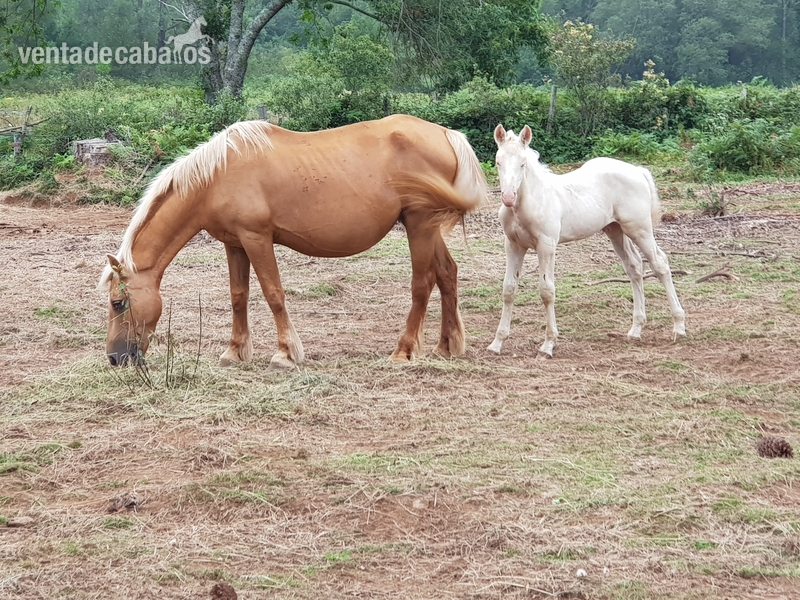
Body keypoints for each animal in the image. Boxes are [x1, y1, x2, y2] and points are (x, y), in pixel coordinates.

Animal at [100, 115, 488, 368]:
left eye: (119, 303)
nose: (115, 358)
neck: (217, 176)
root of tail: (445, 133)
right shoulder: (234, 244)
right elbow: (238, 297)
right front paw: (234, 351)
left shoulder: (257, 239)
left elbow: (273, 294)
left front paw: (285, 353)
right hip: (427, 226)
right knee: (447, 274)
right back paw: (446, 346)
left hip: (419, 224)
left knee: (423, 282)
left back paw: (404, 350)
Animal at [487, 124, 685, 358]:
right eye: (498, 162)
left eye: (522, 163)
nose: (508, 197)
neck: (532, 201)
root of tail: (638, 171)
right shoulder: (513, 245)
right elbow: (508, 290)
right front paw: (497, 343)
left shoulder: (546, 246)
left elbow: (547, 291)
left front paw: (548, 345)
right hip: (615, 230)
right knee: (634, 266)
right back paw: (636, 329)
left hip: (640, 229)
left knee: (660, 264)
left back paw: (679, 326)